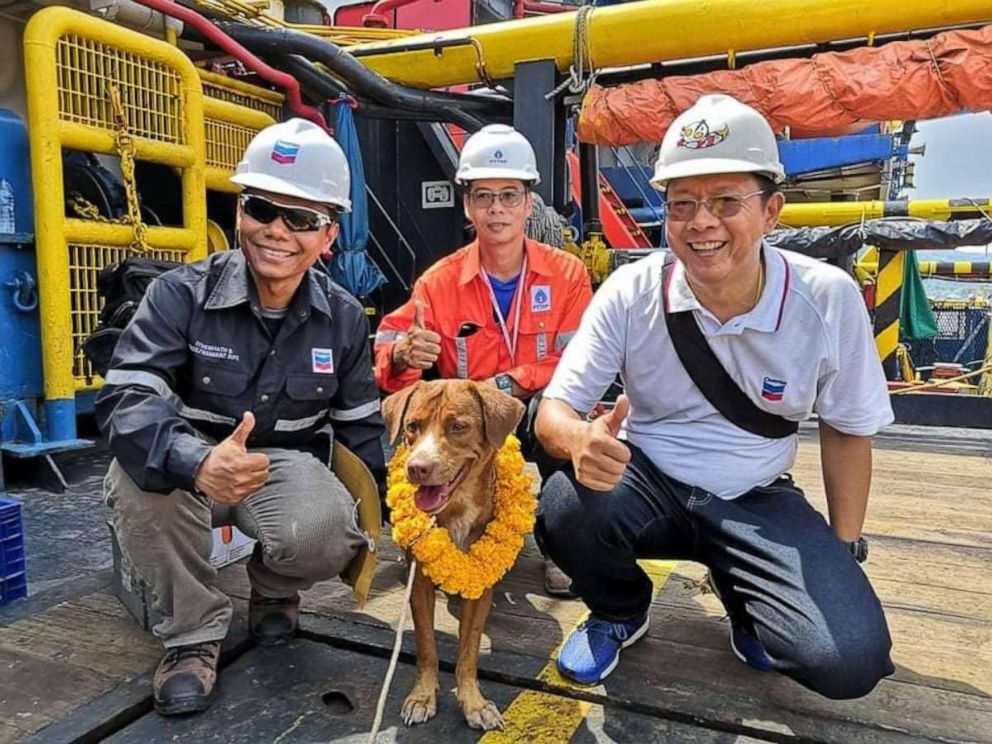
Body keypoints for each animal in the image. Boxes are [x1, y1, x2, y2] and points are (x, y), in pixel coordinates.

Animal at [382, 380, 528, 728]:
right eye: (412, 426)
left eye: (458, 426)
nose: (416, 468)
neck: (457, 508)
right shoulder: (420, 584)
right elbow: (426, 644)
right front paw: (422, 696)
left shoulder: (481, 587)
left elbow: (469, 648)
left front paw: (474, 703)